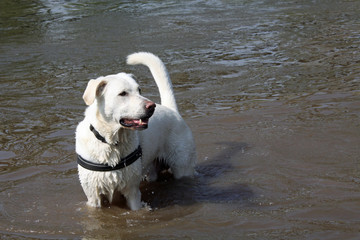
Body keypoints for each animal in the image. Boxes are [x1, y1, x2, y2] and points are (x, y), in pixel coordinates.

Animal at [75, 52, 197, 210]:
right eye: (123, 93)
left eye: (139, 90)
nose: (152, 106)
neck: (112, 142)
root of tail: (171, 110)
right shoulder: (93, 196)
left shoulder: (132, 191)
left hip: (183, 166)